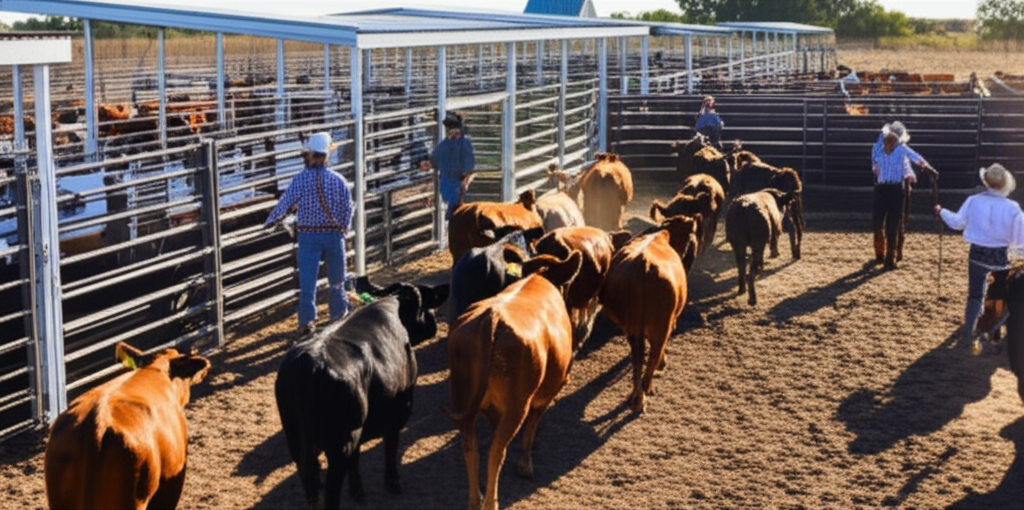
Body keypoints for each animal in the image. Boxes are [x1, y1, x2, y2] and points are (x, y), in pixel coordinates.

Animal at [274, 276, 448, 510]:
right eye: (428, 304)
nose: (434, 324)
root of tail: (311, 364)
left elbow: (356, 462)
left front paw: (357, 490)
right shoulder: (400, 409)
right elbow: (390, 446)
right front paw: (393, 482)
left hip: (297, 441)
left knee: (312, 485)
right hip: (341, 442)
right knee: (332, 488)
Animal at [445, 251, 583, 510]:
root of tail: (492, 317)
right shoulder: (548, 390)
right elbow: (532, 425)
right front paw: (525, 463)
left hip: (462, 399)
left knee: (471, 446)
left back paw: (475, 499)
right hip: (517, 404)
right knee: (496, 451)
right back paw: (491, 502)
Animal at [600, 214, 701, 413]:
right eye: (692, 235)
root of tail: (644, 266)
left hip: (634, 327)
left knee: (639, 357)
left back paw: (636, 397)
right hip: (660, 324)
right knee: (651, 355)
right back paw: (645, 391)